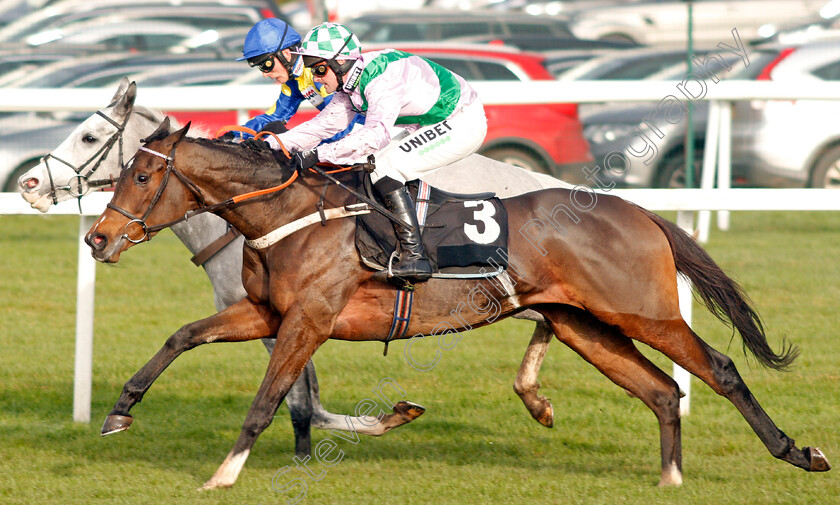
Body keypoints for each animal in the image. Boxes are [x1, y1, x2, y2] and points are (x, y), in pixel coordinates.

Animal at [19, 78, 568, 452]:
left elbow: (306, 402)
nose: (28, 184)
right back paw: (536, 399)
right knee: (551, 325)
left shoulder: (291, 316)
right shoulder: (275, 313)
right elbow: (305, 396)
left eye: (89, 137)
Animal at [83, 118, 828, 488]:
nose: (97, 237)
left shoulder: (308, 321)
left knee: (718, 371)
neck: (290, 216)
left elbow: (270, 400)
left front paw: (223, 473)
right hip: (583, 325)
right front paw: (120, 410)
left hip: (644, 312)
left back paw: (797, 452)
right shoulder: (266, 313)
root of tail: (640, 212)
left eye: (142, 175)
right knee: (661, 391)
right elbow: (182, 336)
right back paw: (670, 476)